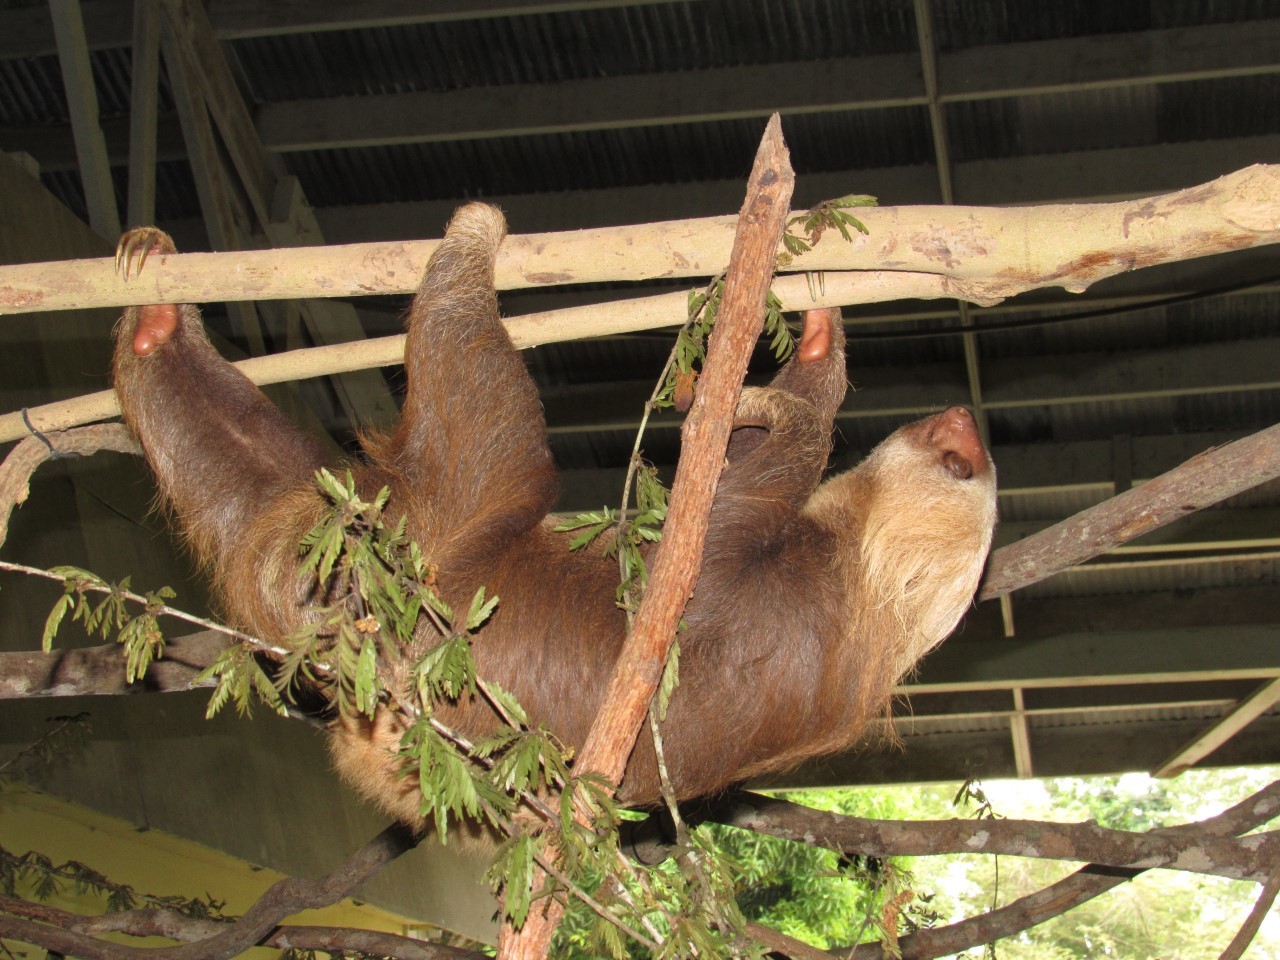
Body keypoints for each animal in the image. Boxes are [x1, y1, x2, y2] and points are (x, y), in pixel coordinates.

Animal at [111, 204, 997, 829]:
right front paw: (816, 343)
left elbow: (699, 550)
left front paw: (780, 409)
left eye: (959, 464)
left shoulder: (786, 610)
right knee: (259, 478)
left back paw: (470, 243)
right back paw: (156, 317)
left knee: (482, 424)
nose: (965, 423)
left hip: (429, 561)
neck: (861, 571)